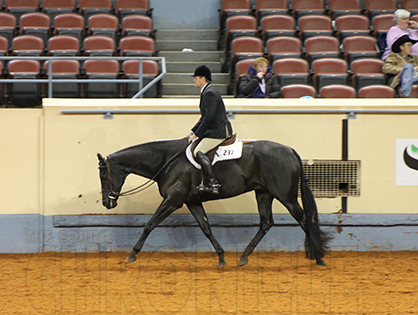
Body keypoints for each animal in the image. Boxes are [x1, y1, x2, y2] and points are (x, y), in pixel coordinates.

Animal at [97, 138, 330, 266]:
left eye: (104, 175)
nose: (107, 203)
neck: (167, 161)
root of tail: (290, 150)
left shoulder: (173, 200)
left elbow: (150, 224)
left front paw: (132, 255)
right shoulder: (192, 202)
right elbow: (206, 228)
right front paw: (221, 257)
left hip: (285, 195)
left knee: (304, 220)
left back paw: (318, 258)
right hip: (264, 193)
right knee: (266, 222)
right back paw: (243, 257)